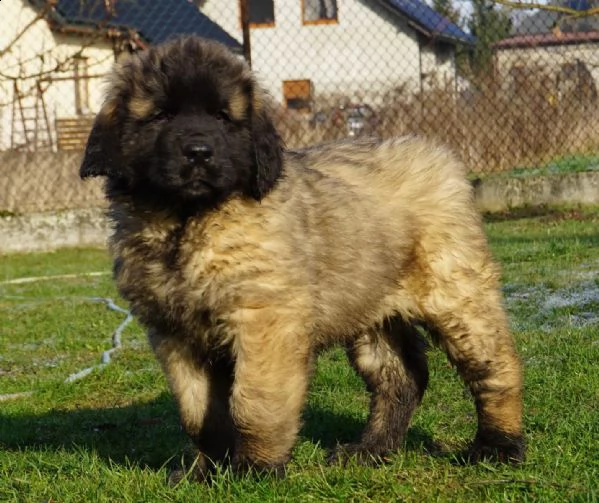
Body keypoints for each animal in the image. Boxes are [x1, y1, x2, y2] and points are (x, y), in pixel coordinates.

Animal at [81, 36, 524, 480]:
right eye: (161, 115)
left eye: (224, 117)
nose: (199, 152)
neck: (189, 221)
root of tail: (436, 152)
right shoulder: (175, 333)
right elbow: (199, 412)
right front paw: (205, 470)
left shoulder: (264, 320)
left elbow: (255, 400)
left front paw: (255, 467)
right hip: (370, 309)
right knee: (401, 377)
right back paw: (370, 449)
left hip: (456, 295)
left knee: (495, 368)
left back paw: (498, 445)